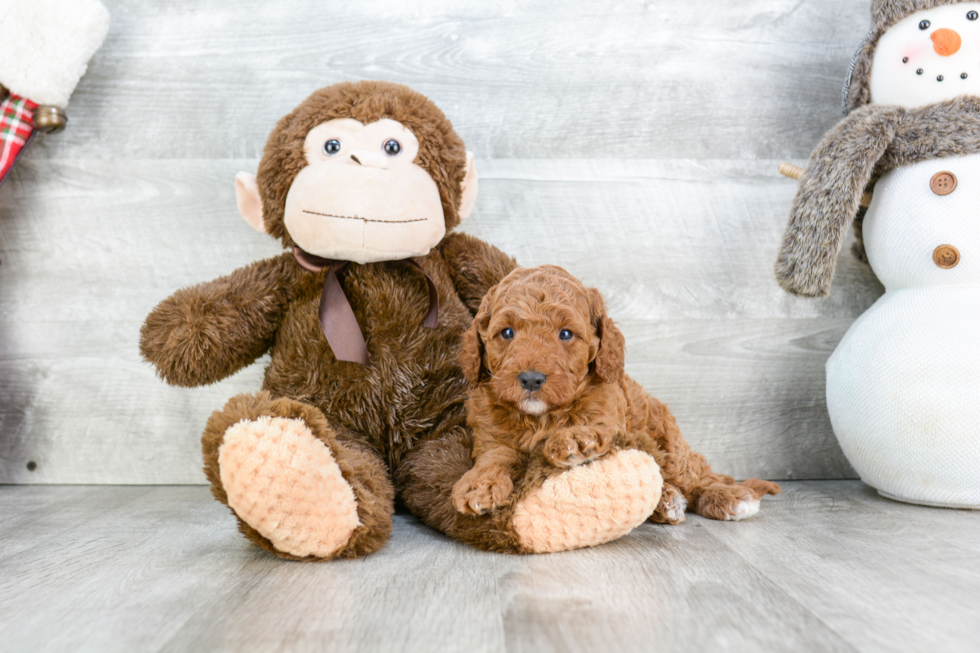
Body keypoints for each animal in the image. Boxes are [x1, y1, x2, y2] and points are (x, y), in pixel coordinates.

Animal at [452, 262, 780, 524]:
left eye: (565, 334)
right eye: (507, 333)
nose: (531, 379)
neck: (540, 418)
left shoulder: (610, 417)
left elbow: (592, 426)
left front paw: (574, 440)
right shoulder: (491, 438)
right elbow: (495, 457)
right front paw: (480, 484)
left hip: (669, 440)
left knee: (695, 476)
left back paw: (727, 497)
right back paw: (666, 501)